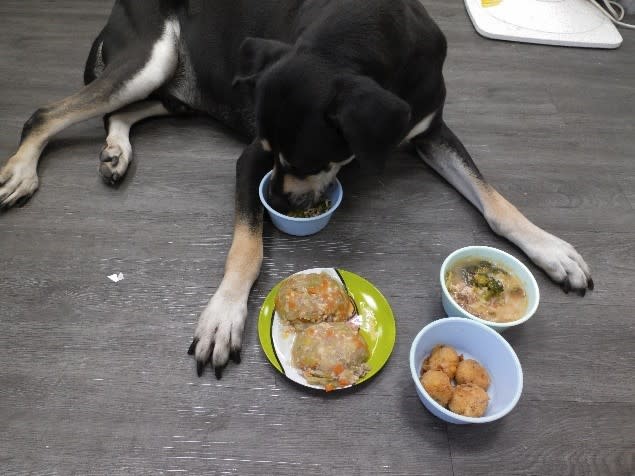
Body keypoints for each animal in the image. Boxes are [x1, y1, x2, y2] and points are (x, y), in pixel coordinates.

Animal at [2, 0, 592, 380]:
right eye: (276, 159)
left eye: (311, 161)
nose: (282, 204)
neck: (366, 37)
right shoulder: (250, 159)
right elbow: (246, 248)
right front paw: (224, 315)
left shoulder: (430, 127)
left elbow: (495, 201)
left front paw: (552, 250)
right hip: (151, 60)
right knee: (50, 112)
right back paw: (21, 171)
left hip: (182, 92)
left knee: (121, 113)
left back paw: (116, 150)